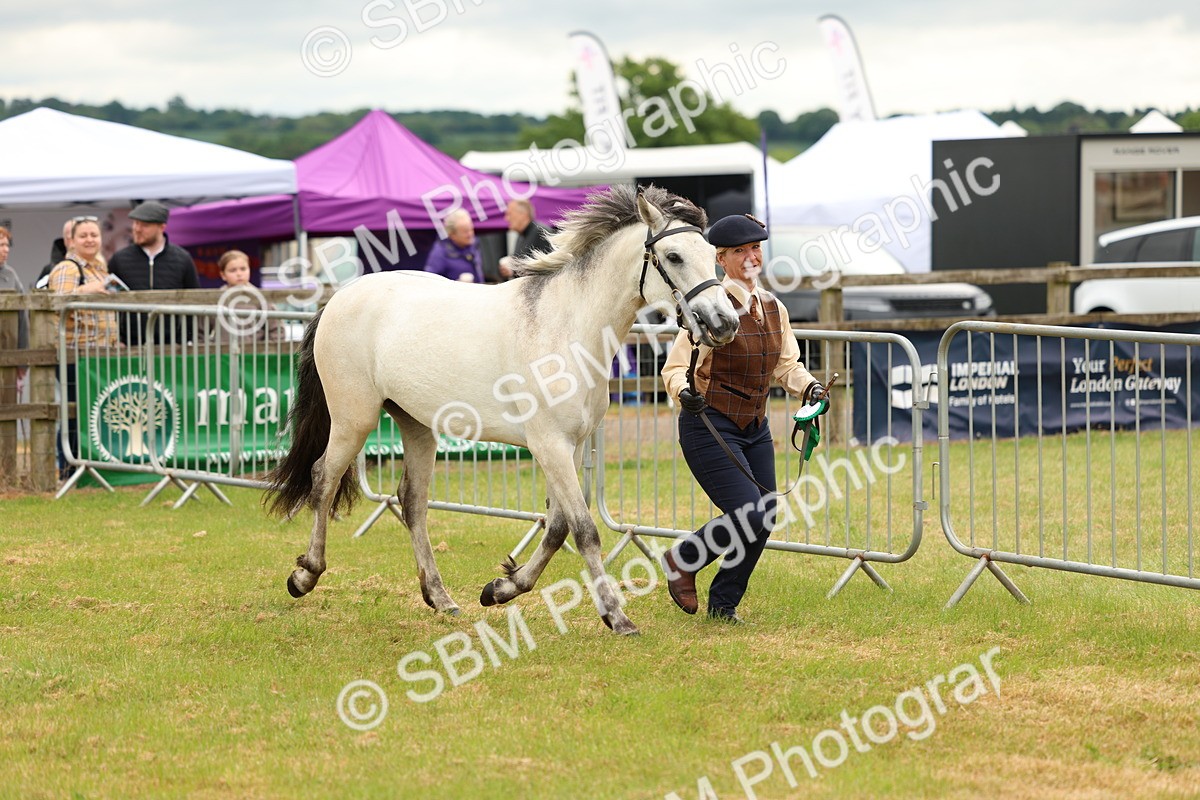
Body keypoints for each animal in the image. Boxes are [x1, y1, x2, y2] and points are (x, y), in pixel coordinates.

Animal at [263, 185, 739, 635]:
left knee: (411, 501)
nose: (724, 323)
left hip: (416, 425)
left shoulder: (571, 447)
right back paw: (305, 575)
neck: (564, 326)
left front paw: (502, 589)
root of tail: (339, 298)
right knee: (323, 480)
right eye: (674, 256)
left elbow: (558, 527)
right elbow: (584, 530)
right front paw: (617, 617)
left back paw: (440, 597)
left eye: (713, 255)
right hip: (353, 419)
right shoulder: (549, 445)